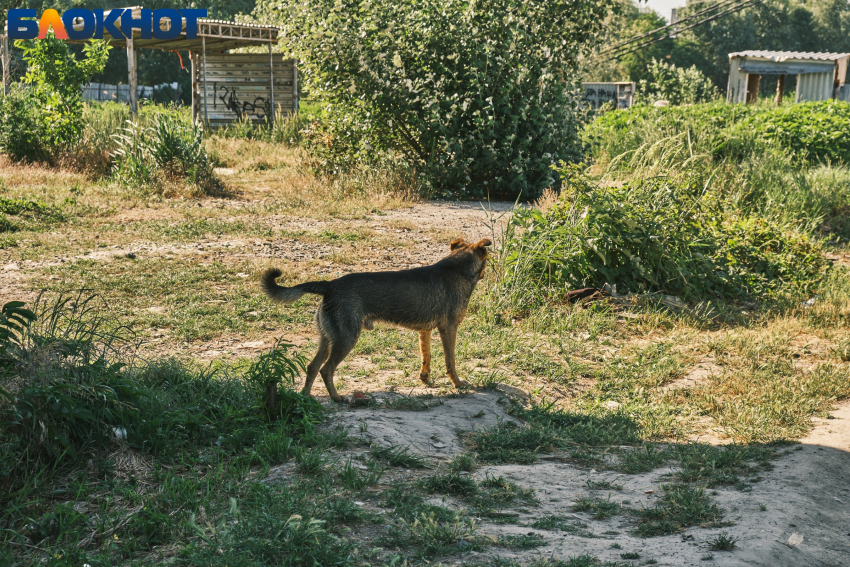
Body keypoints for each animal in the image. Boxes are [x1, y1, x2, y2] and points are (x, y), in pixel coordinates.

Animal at [262, 237, 494, 402]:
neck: (456, 269)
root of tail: (329, 285)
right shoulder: (449, 328)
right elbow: (450, 361)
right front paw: (458, 383)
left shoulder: (425, 330)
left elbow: (426, 357)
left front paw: (425, 379)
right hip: (346, 339)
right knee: (326, 369)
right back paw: (336, 398)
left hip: (328, 338)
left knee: (312, 367)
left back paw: (306, 397)